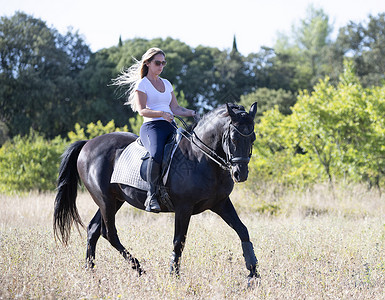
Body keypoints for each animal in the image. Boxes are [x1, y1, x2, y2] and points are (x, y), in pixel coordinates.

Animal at [53, 103, 258, 282]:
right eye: (234, 138)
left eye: (253, 138)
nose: (240, 174)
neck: (200, 157)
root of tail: (88, 144)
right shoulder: (184, 208)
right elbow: (178, 242)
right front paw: (174, 276)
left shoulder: (220, 203)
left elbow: (243, 230)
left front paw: (253, 273)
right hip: (105, 200)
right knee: (109, 233)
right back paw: (139, 269)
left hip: (115, 200)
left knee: (93, 230)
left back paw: (91, 272)